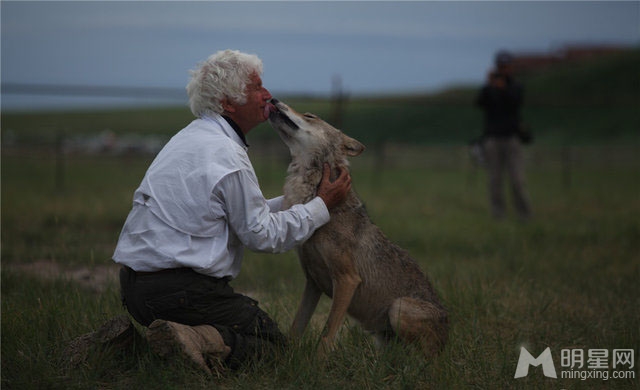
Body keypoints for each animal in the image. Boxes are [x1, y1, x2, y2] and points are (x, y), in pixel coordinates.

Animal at [268, 98, 448, 356]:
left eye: (310, 116)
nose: (273, 100)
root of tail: (447, 340)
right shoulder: (312, 283)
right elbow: (295, 328)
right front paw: (289, 359)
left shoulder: (347, 280)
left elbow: (327, 335)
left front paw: (317, 362)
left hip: (399, 308)